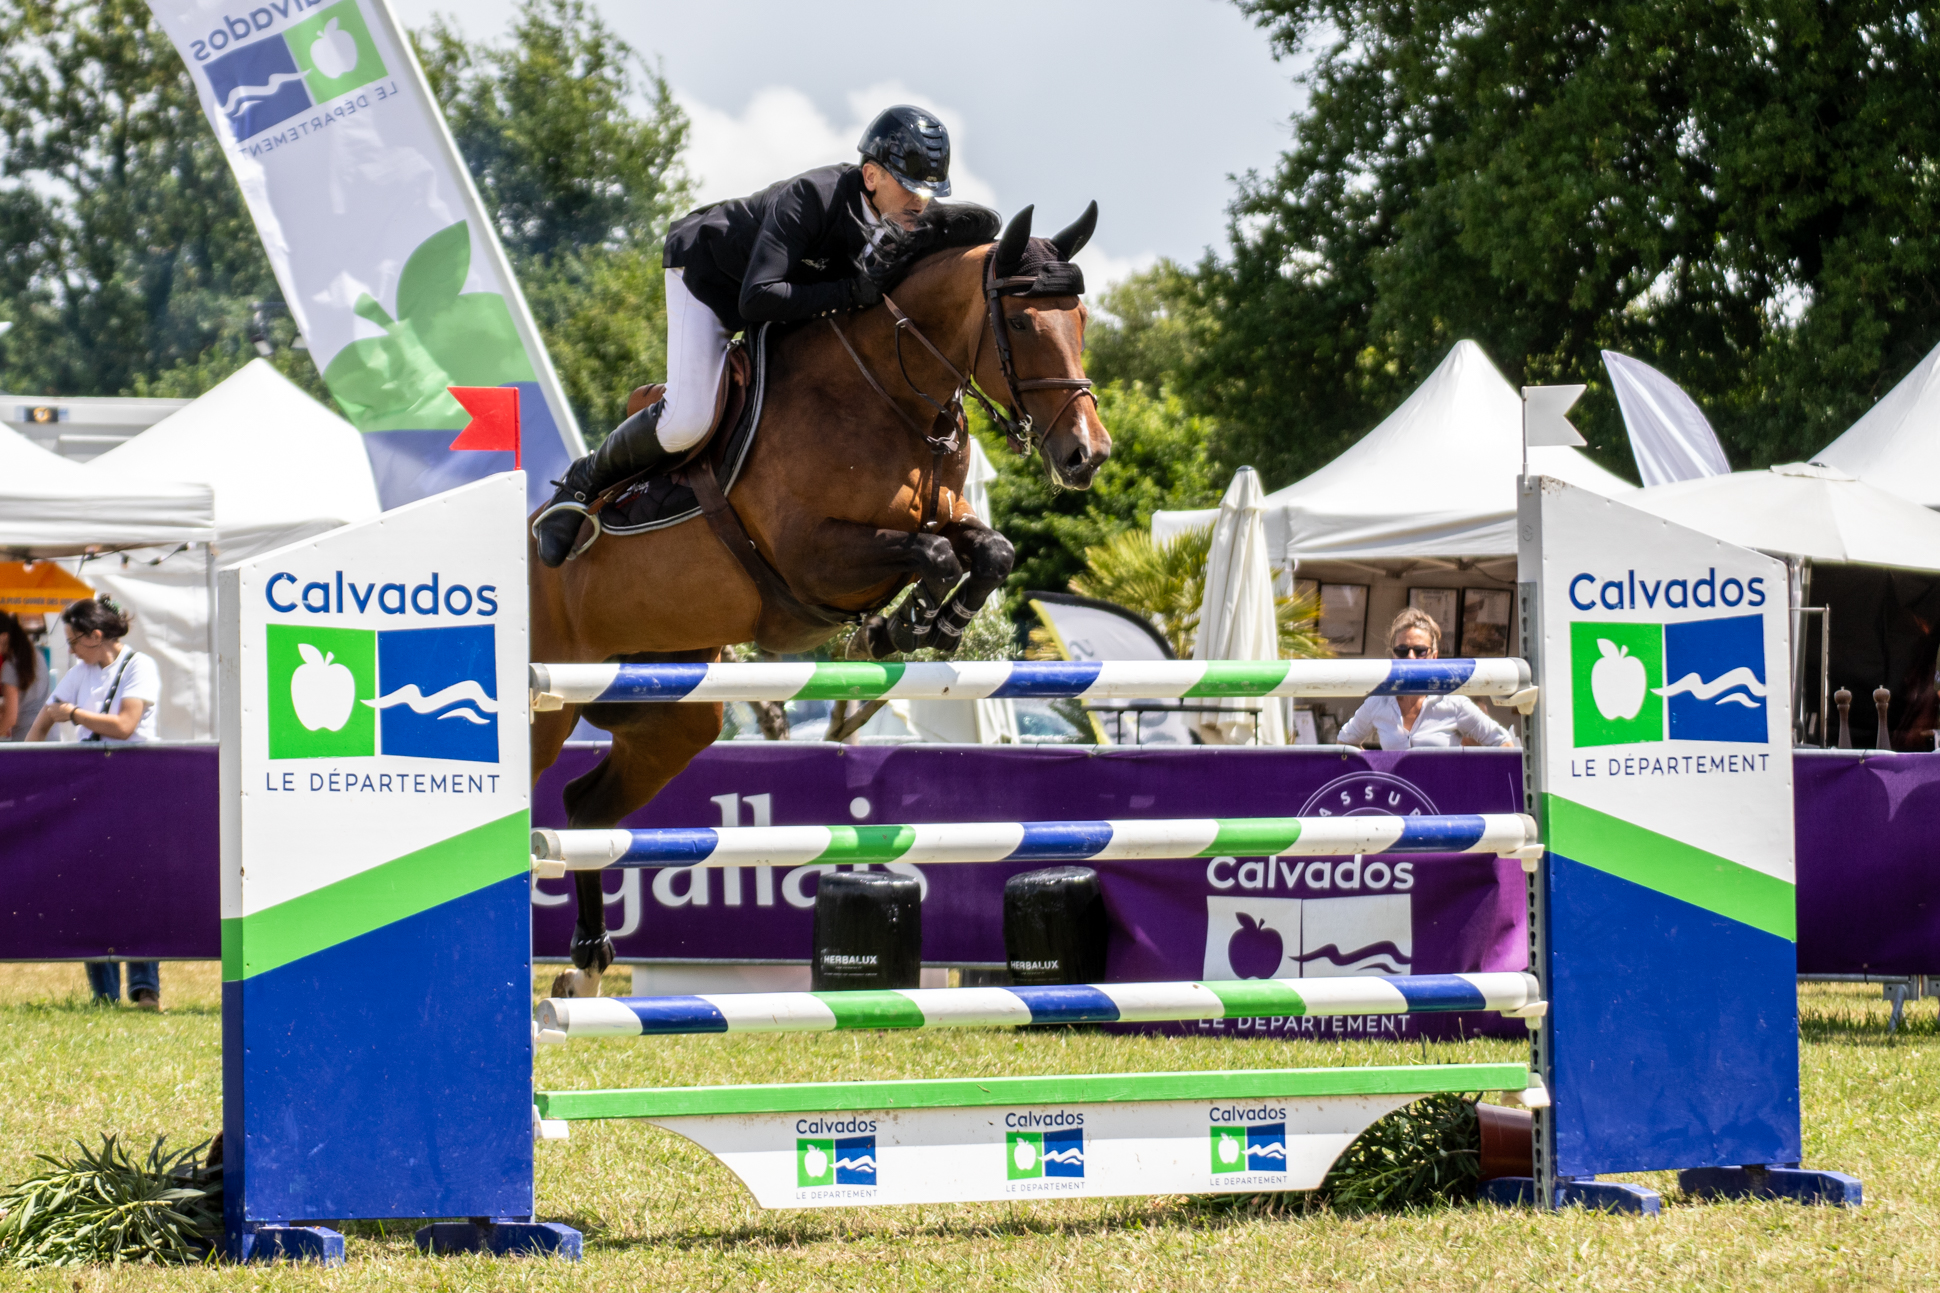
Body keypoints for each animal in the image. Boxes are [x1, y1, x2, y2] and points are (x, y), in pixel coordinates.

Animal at [530, 203, 1113, 996]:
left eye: (1080, 318)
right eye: (1023, 323)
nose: (1089, 455)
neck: (888, 393)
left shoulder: (943, 510)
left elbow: (989, 550)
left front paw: (927, 624)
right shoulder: (812, 556)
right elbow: (931, 555)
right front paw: (901, 626)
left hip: (674, 714)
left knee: (584, 811)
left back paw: (587, 965)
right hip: (546, 704)